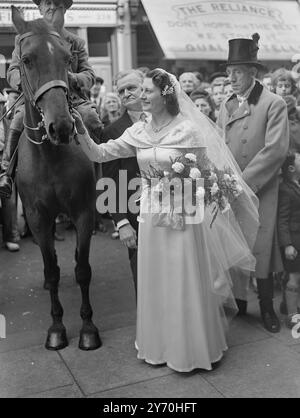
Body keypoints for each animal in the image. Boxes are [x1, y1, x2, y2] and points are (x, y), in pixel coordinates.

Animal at [11, 8, 102, 352]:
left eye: (66, 58)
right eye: (26, 59)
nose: (61, 126)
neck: (51, 155)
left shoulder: (83, 211)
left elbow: (83, 269)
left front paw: (88, 328)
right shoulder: (37, 217)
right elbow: (51, 271)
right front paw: (57, 328)